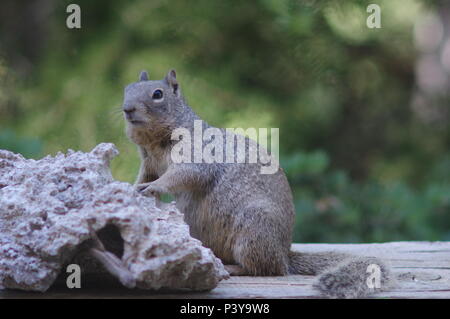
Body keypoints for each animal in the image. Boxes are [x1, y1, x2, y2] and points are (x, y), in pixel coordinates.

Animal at [121, 70, 392, 300]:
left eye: (158, 94)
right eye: (127, 89)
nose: (126, 109)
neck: (156, 142)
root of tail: (284, 253)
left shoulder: (198, 155)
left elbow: (183, 175)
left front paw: (155, 187)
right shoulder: (149, 164)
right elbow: (144, 177)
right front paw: (132, 188)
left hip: (253, 228)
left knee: (266, 268)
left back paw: (233, 268)